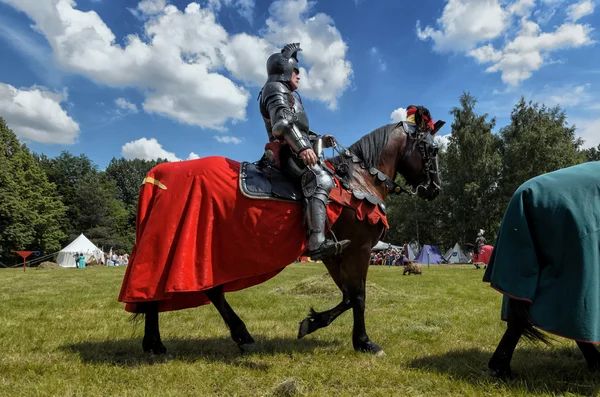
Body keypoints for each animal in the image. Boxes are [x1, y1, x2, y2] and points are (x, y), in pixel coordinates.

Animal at [119, 108, 442, 356]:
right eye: (432, 149)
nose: (435, 190)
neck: (359, 181)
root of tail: (158, 175)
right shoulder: (357, 250)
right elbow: (359, 297)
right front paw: (364, 342)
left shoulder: (335, 254)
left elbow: (348, 296)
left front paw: (312, 322)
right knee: (186, 288)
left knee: (172, 290)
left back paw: (163, 342)